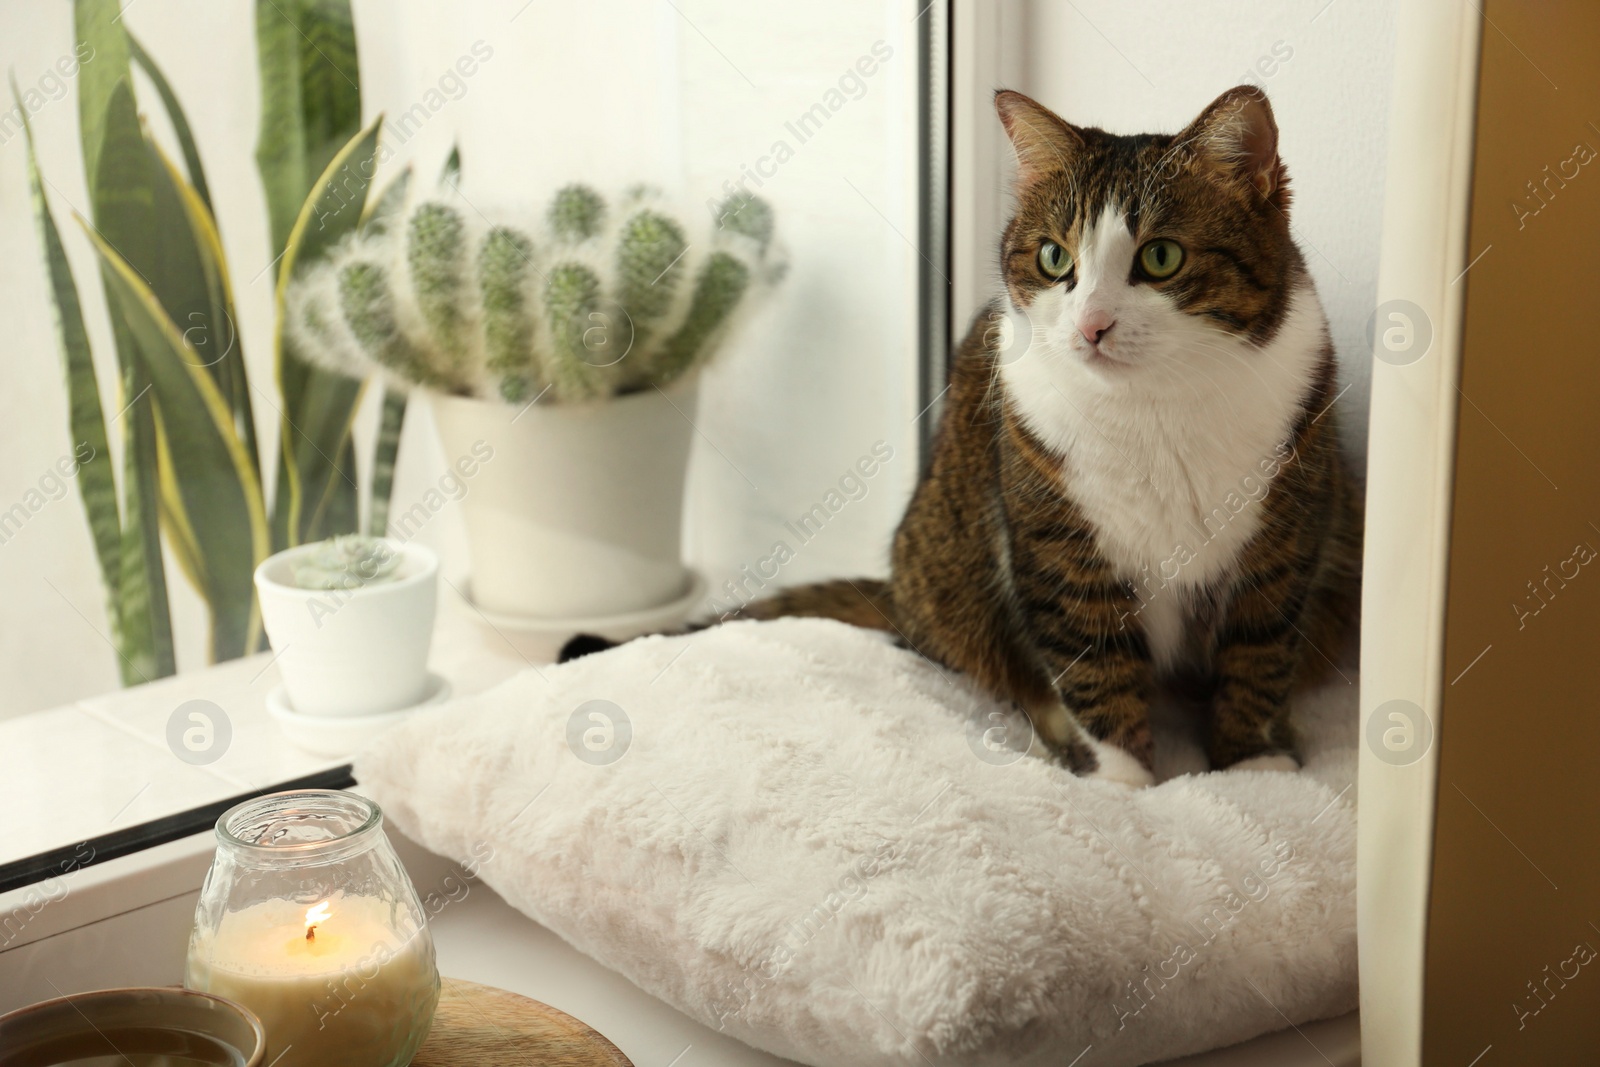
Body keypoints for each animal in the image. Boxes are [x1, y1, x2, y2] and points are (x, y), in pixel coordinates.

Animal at [563, 87, 1363, 790]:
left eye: (1161, 257)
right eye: (1054, 258)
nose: (1091, 326)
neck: (1158, 404)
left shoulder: (1284, 533)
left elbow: (1259, 651)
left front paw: (1253, 763)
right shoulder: (1057, 539)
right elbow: (1094, 660)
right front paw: (1126, 783)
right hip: (948, 566)